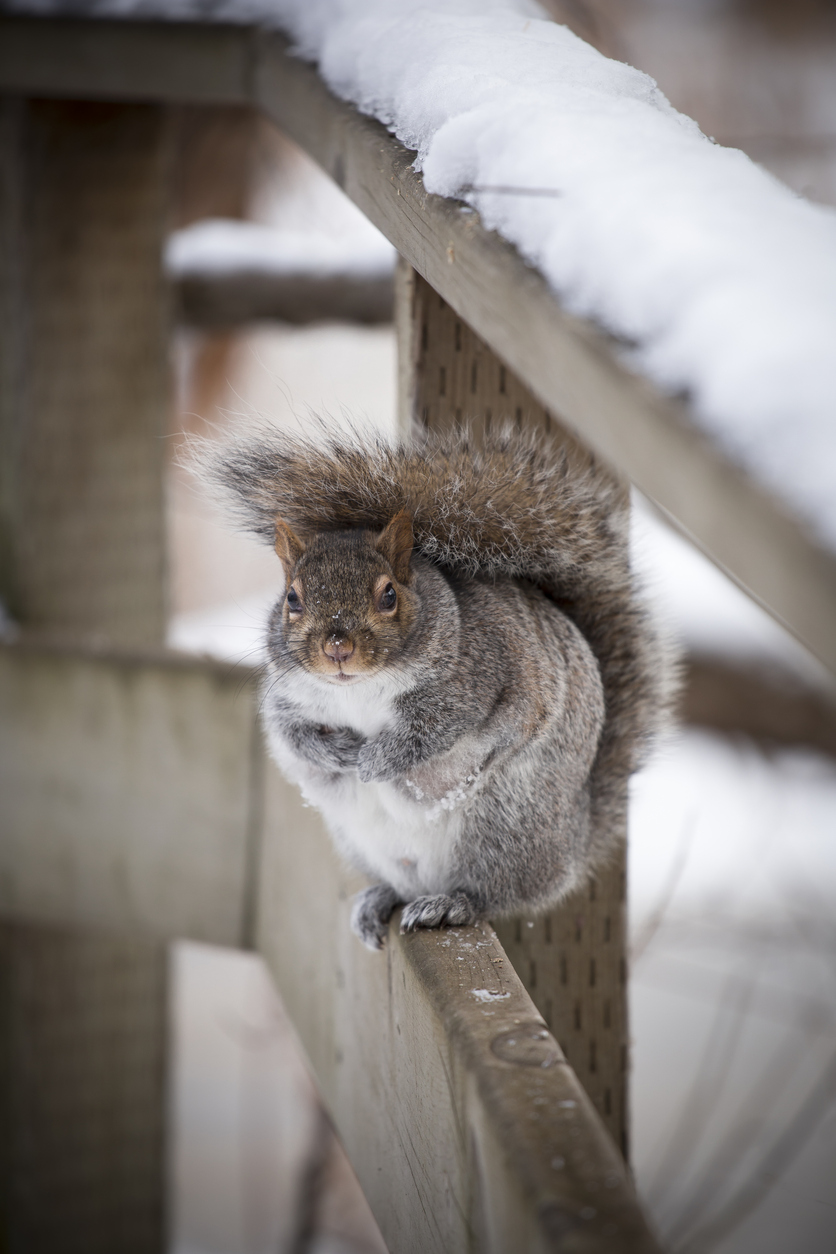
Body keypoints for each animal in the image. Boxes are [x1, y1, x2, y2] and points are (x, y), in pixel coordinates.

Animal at [200, 426, 671, 943]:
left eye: (389, 595)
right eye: (292, 599)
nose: (337, 648)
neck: (356, 689)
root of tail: (574, 841)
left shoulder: (478, 679)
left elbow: (428, 732)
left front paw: (373, 760)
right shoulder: (289, 696)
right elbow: (292, 734)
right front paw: (338, 753)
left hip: (504, 827)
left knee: (492, 894)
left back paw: (450, 903)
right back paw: (380, 898)